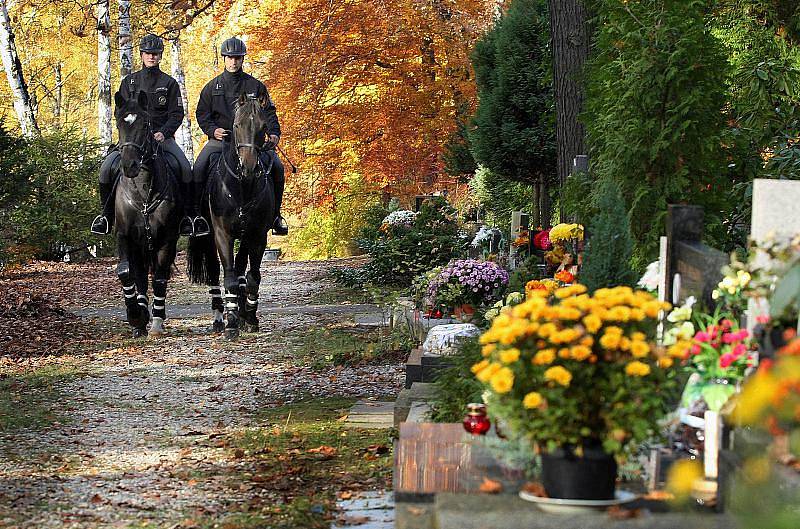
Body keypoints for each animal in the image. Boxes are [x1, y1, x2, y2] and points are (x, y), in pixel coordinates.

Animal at [112, 88, 181, 336]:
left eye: (145, 124)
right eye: (119, 124)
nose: (129, 166)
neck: (142, 192)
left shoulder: (166, 239)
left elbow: (160, 278)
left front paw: (157, 322)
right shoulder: (125, 236)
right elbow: (125, 272)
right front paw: (135, 315)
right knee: (140, 275)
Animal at [186, 93, 276, 338]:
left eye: (263, 127)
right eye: (236, 126)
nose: (249, 167)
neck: (242, 188)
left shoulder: (256, 235)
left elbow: (251, 276)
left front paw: (249, 317)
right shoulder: (222, 234)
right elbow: (229, 277)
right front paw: (232, 322)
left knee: (241, 269)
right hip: (208, 237)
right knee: (214, 272)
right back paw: (219, 318)